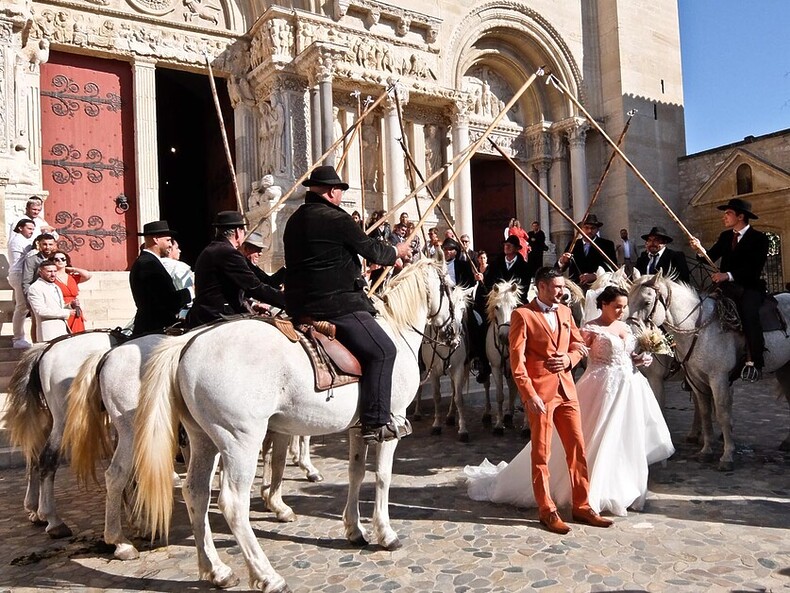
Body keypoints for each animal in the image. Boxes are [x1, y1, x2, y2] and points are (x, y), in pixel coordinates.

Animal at [1, 330, 124, 540]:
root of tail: (47, 348)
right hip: (64, 420)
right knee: (47, 458)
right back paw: (53, 520)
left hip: (53, 417)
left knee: (34, 454)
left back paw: (35, 511)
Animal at [133, 260, 458, 592]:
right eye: (451, 289)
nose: (453, 335)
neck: (395, 328)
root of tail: (188, 342)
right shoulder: (392, 421)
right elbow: (382, 477)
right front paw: (386, 533)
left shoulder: (360, 427)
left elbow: (355, 473)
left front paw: (354, 529)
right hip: (240, 441)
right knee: (233, 503)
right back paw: (267, 575)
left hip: (203, 439)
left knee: (196, 494)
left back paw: (217, 570)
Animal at [420, 284, 476, 442]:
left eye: (462, 309)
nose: (454, 335)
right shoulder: (432, 372)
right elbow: (437, 396)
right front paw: (436, 425)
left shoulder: (458, 369)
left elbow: (459, 398)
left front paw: (463, 429)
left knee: (455, 391)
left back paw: (451, 416)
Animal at [632, 270, 790, 470]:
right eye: (627, 298)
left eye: (646, 302)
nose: (631, 332)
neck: (698, 328)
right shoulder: (696, 379)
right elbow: (705, 412)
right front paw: (706, 451)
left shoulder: (717, 378)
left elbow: (722, 413)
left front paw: (727, 455)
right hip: (783, 370)